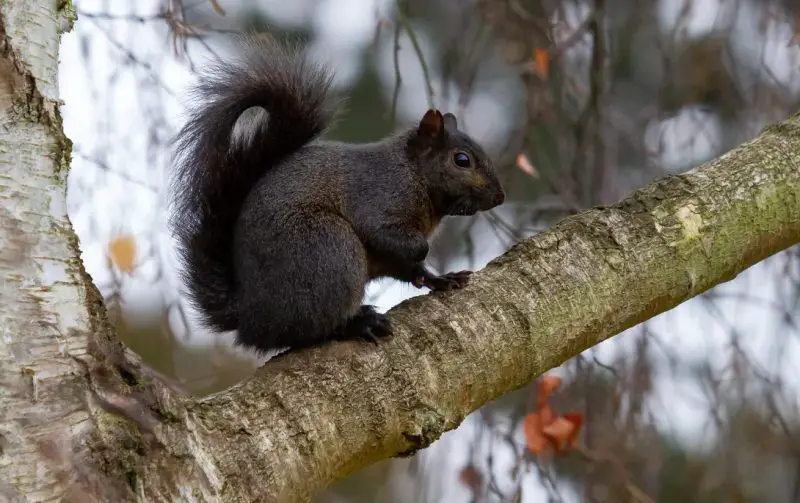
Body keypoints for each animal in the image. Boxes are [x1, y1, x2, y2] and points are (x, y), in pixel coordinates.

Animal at [169, 34, 505, 354]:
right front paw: (423, 250)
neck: (415, 174)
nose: (499, 197)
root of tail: (249, 316)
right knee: (305, 330)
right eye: (462, 160)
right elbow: (386, 234)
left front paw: (441, 279)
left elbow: (412, 270)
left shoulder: (393, 256)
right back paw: (357, 324)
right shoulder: (380, 195)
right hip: (329, 249)